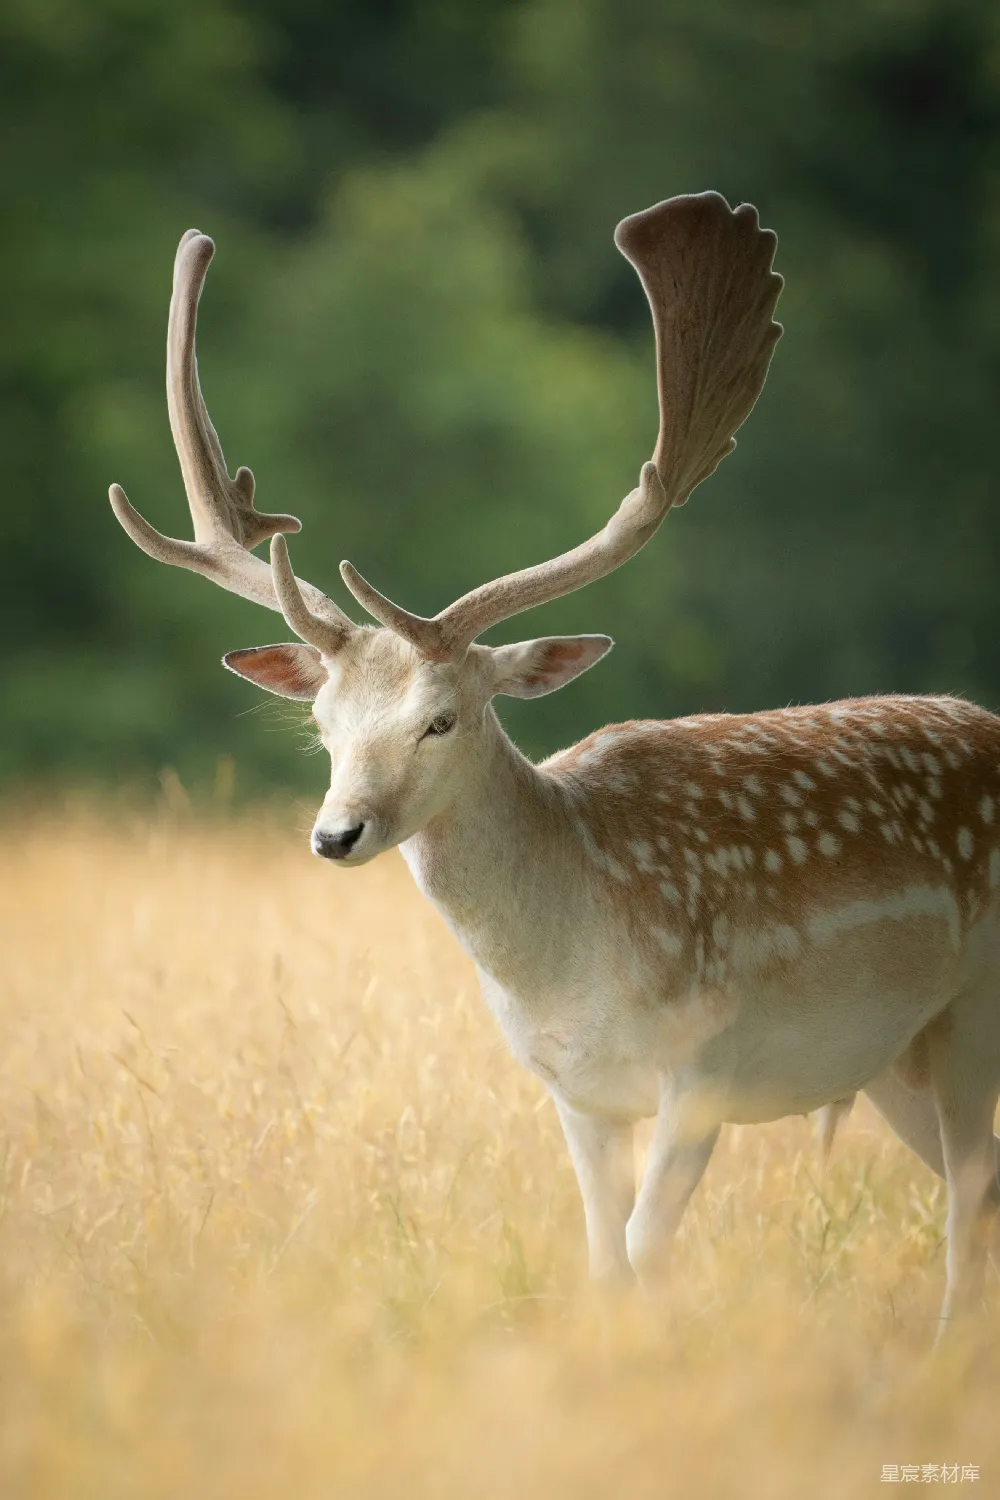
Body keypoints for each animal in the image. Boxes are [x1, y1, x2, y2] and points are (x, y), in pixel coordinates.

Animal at [109, 193, 1000, 1336]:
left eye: (442, 720)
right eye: (322, 722)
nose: (335, 833)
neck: (573, 963)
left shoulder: (707, 1061)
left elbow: (648, 1249)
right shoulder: (576, 1094)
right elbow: (604, 1261)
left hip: (973, 1005)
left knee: (971, 1193)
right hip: (895, 1057)